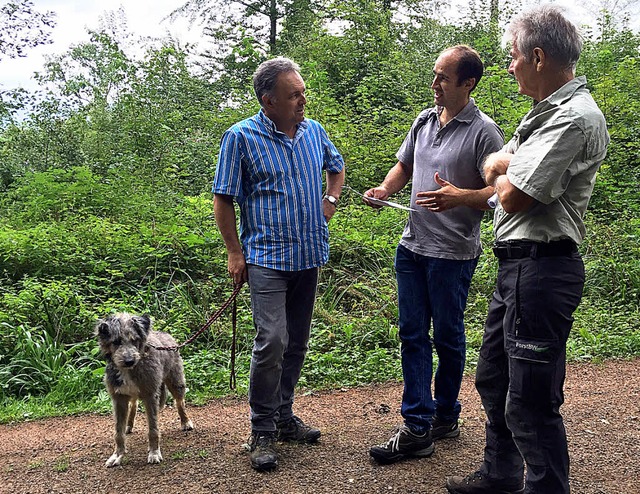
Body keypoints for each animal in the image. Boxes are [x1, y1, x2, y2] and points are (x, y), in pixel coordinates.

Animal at [95, 312, 194, 466]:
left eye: (135, 340)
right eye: (116, 342)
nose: (129, 361)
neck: (129, 370)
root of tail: (165, 334)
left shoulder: (150, 396)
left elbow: (153, 429)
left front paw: (154, 453)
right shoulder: (118, 398)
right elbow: (118, 432)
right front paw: (117, 455)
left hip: (176, 382)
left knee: (180, 402)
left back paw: (185, 422)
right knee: (134, 405)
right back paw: (129, 425)